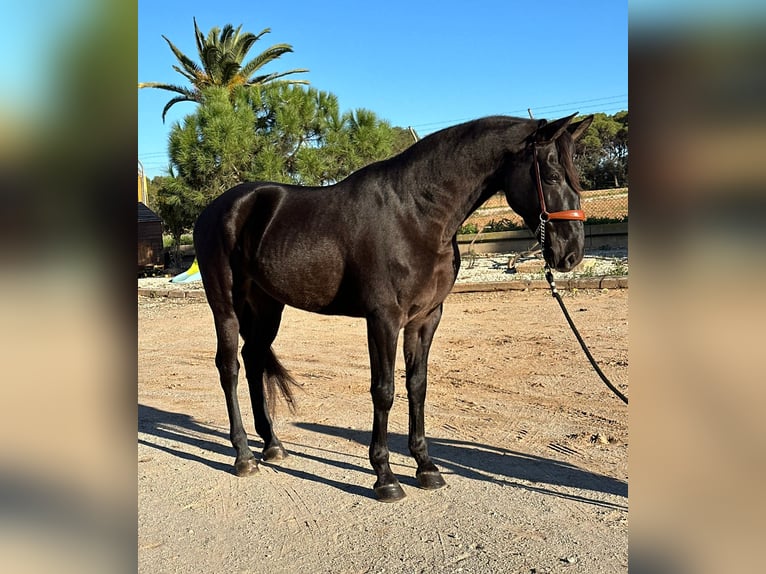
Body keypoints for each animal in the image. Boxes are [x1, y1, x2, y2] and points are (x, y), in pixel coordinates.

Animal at [195, 113, 596, 504]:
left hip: (267, 307)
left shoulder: (425, 319)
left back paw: (272, 445)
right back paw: (243, 455)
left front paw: (426, 467)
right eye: (553, 175)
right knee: (229, 368)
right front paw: (385, 477)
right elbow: (384, 391)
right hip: (225, 307)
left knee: (253, 360)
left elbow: (417, 386)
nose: (571, 253)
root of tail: (216, 209)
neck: (416, 214)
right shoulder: (383, 320)